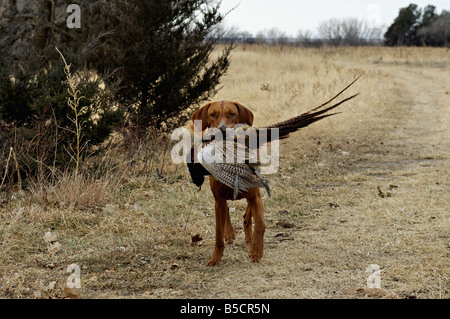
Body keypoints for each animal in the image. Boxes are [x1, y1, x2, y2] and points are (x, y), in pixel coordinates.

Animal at [191, 101, 264, 266]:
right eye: (213, 114)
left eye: (232, 114)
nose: (222, 130)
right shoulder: (219, 200)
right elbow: (218, 234)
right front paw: (215, 259)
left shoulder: (255, 197)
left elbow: (260, 224)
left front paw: (256, 250)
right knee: (226, 213)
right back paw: (230, 233)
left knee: (247, 216)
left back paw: (249, 241)